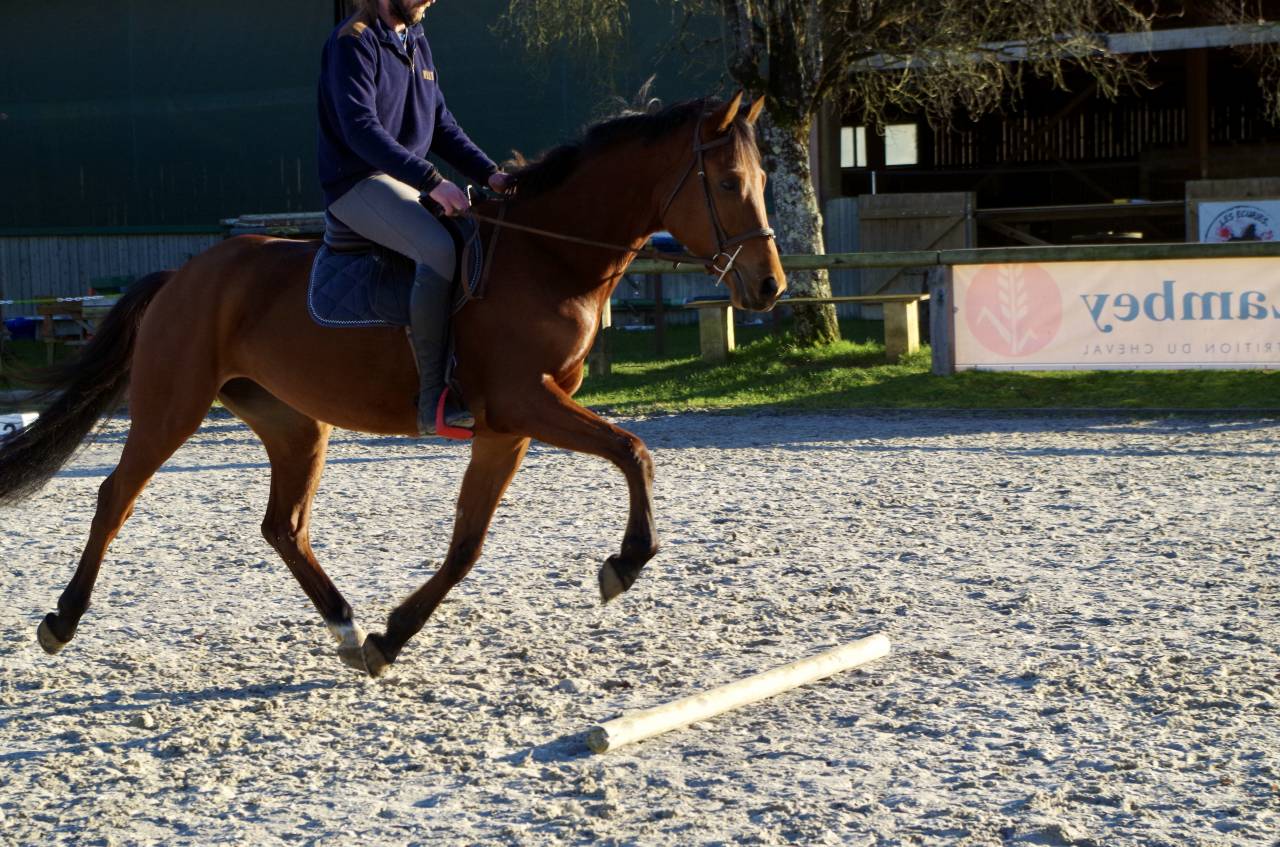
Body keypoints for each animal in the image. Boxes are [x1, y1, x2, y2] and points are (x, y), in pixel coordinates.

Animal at [0, 93, 786, 677]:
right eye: (726, 184)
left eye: (761, 184)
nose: (770, 287)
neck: (547, 257)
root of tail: (183, 274)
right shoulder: (524, 403)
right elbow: (632, 450)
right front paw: (623, 564)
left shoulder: (507, 427)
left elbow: (468, 542)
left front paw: (391, 636)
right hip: (173, 406)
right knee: (116, 496)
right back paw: (61, 620)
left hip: (295, 423)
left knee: (283, 525)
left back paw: (346, 625)